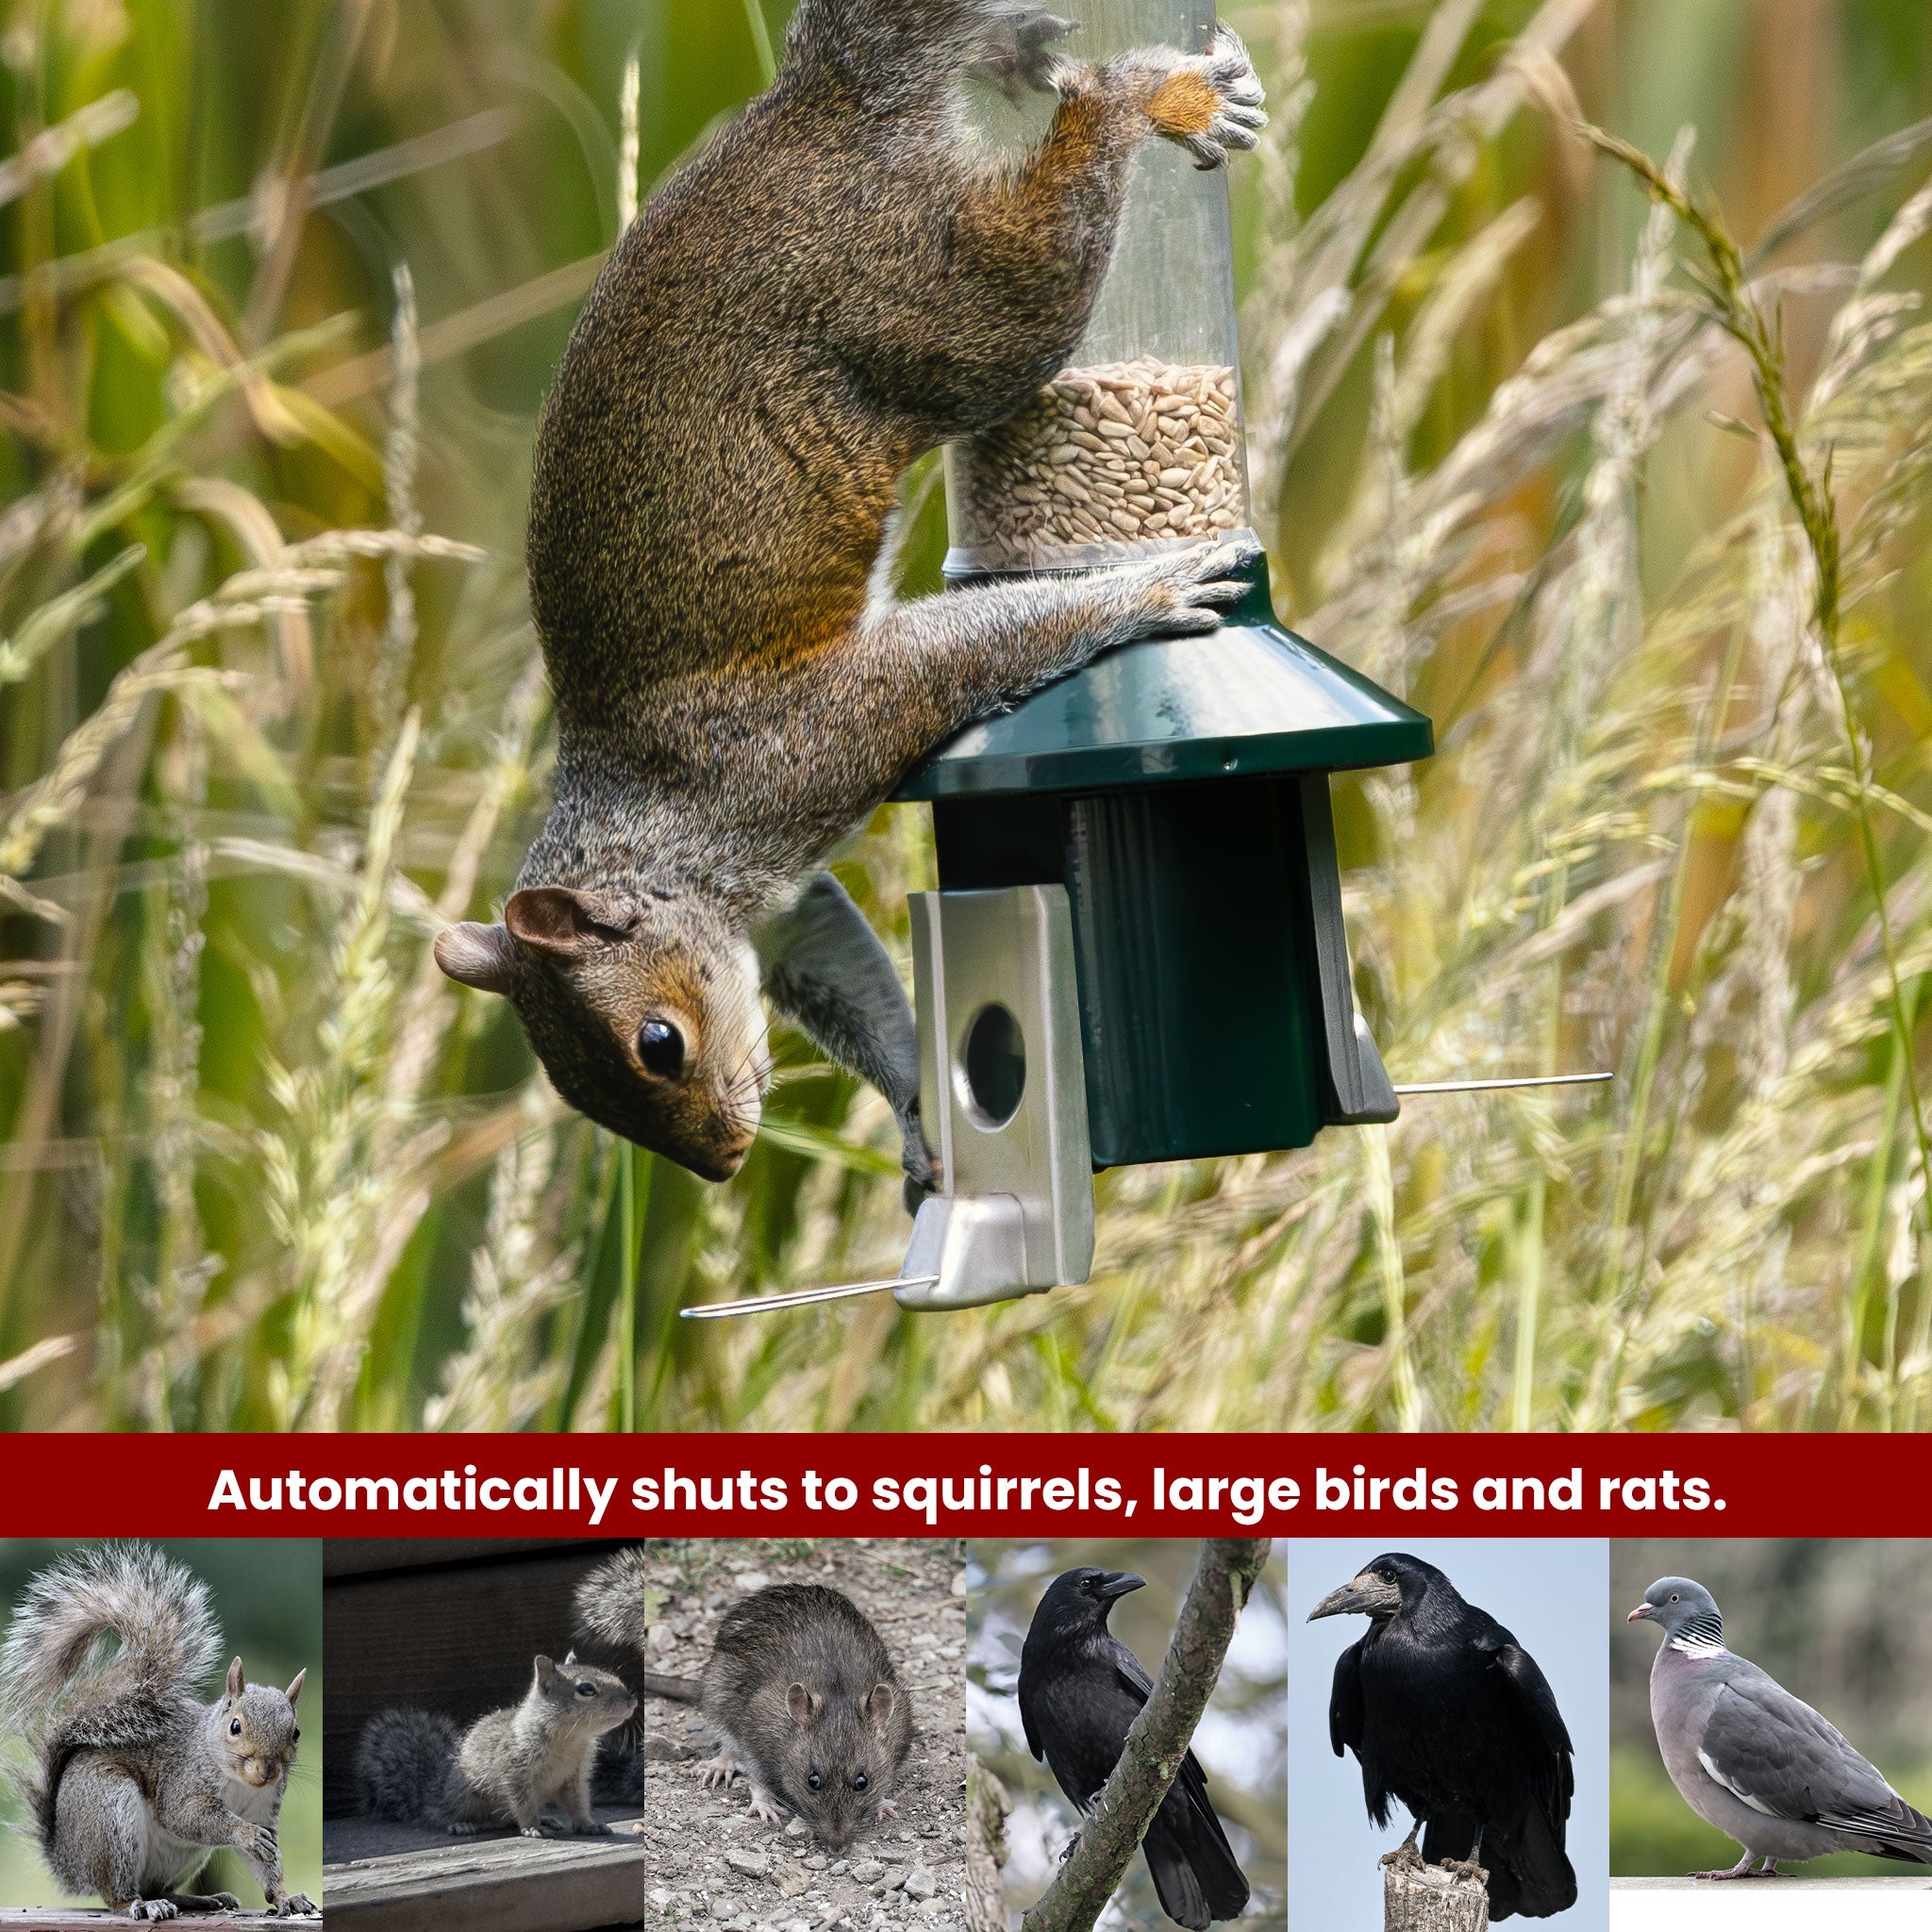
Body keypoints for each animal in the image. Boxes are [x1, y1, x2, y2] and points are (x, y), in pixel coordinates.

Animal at [0, 1542, 317, 1921]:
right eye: (235, 1726)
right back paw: (141, 1905)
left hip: (182, 1856)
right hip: (110, 1816)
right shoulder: (182, 1782)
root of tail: (68, 1861)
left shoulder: (264, 1807)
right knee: (117, 1893)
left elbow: (266, 1864)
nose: (268, 1770)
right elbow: (188, 1816)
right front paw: (246, 1834)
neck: (239, 1782)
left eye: (295, 1733)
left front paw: (287, 1897)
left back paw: (199, 1899)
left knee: (158, 1887)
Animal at [357, 1651, 637, 1838]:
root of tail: (433, 1794)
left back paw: (546, 1819)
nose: (631, 1701)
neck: (570, 1738)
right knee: (448, 1814)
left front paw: (589, 1824)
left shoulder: (575, 1777)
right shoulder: (515, 1771)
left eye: (610, 1673)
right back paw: (461, 1824)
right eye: (586, 1689)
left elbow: (578, 1802)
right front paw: (532, 1827)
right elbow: (522, 1803)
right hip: (465, 1796)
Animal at [433, 0, 1269, 1198]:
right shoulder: (786, 914)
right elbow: (849, 977)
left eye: (656, 1042)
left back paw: (1150, 97)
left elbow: (960, 656)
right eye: (576, 1091)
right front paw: (922, 1111)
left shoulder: (812, 740)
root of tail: (822, 103)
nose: (723, 1163)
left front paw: (1147, 585)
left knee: (1051, 222)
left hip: (947, 310)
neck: (660, 832)